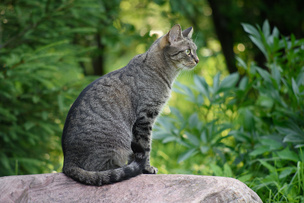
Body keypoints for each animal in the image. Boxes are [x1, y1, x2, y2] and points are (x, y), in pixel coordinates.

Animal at [61, 24, 200, 186]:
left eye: (195, 50)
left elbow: (139, 150)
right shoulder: (145, 117)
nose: (197, 60)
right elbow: (146, 146)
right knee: (102, 171)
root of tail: (67, 162)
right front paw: (146, 168)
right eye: (188, 51)